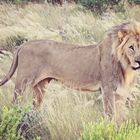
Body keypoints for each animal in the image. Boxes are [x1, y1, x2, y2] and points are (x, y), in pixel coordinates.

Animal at [0, 21, 140, 124]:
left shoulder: (121, 93)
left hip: (40, 86)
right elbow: (110, 115)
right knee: (14, 105)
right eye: (131, 47)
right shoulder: (107, 90)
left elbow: (120, 116)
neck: (125, 66)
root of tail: (22, 45)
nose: (139, 61)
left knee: (35, 107)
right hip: (23, 84)